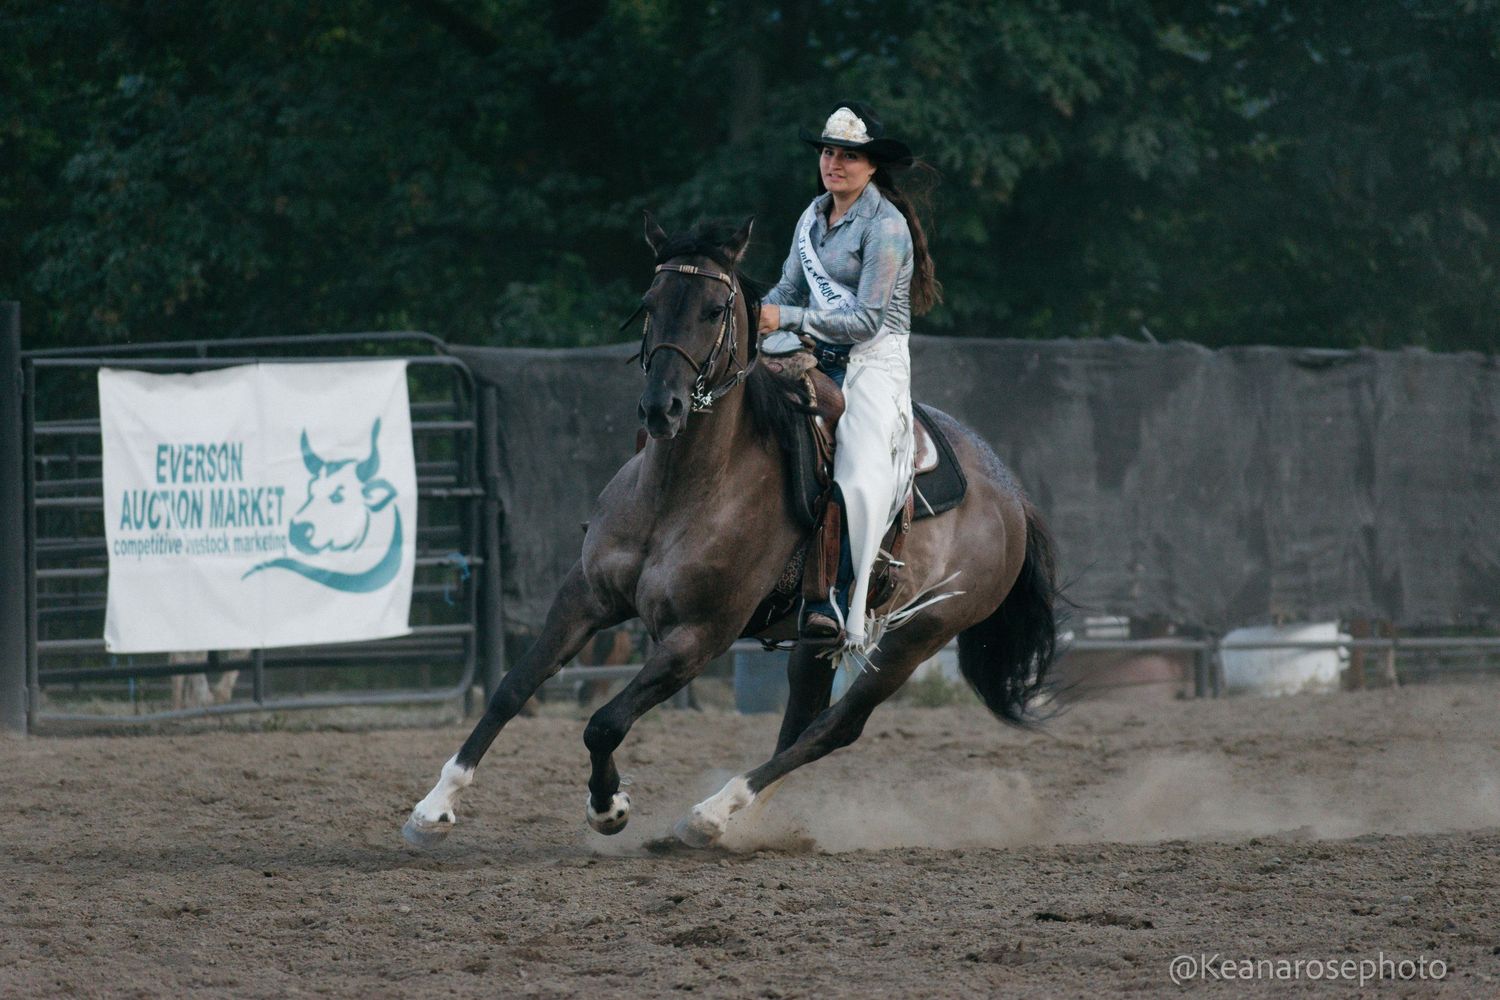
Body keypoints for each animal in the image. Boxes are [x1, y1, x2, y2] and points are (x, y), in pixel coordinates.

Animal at [404, 214, 1058, 849]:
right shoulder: (584, 598)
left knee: (836, 726)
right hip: (816, 640)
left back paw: (710, 816)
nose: (661, 408)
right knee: (799, 722)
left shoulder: (699, 637)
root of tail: (1012, 496)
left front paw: (609, 807)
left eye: (715, 309)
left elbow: (604, 722)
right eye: (649, 301)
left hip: (917, 635)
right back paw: (737, 820)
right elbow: (512, 688)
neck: (679, 493)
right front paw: (433, 807)